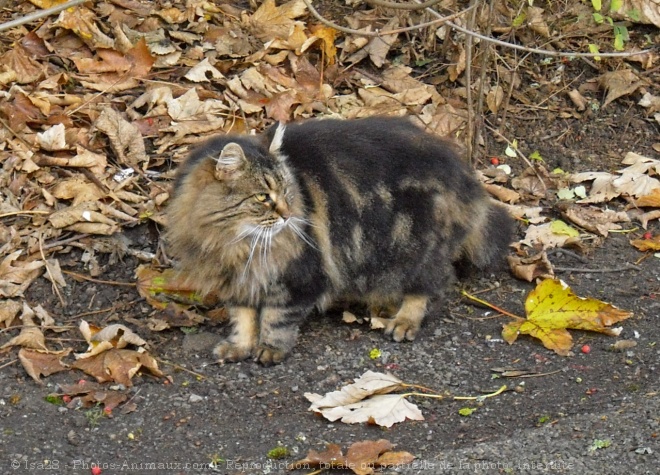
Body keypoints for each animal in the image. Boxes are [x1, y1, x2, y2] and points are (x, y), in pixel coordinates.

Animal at [166, 117, 516, 366]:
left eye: (288, 191)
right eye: (263, 198)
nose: (288, 215)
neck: (235, 243)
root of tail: (466, 176)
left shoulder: (299, 276)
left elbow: (276, 318)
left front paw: (269, 349)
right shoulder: (237, 280)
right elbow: (243, 318)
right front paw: (239, 346)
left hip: (415, 249)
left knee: (432, 285)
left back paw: (404, 321)